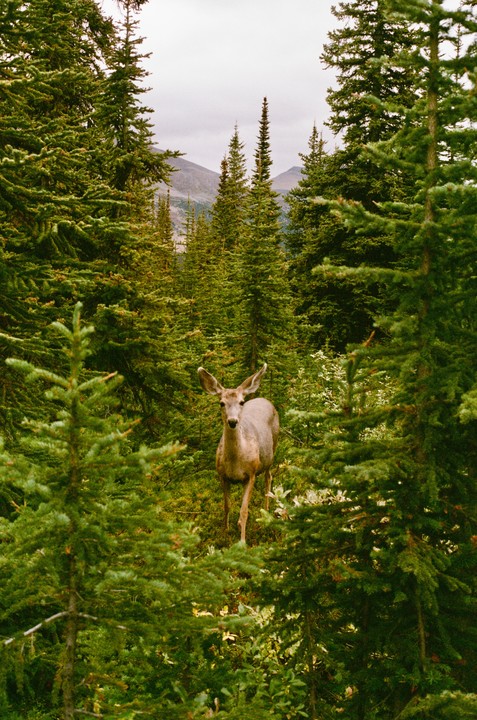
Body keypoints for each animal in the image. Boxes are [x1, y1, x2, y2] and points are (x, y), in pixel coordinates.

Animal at [197, 363, 279, 543]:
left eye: (241, 402)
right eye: (221, 403)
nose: (233, 421)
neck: (236, 462)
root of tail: (265, 399)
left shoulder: (251, 474)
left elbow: (244, 511)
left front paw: (242, 542)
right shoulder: (222, 475)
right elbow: (227, 506)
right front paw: (225, 532)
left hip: (271, 452)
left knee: (268, 477)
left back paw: (266, 512)